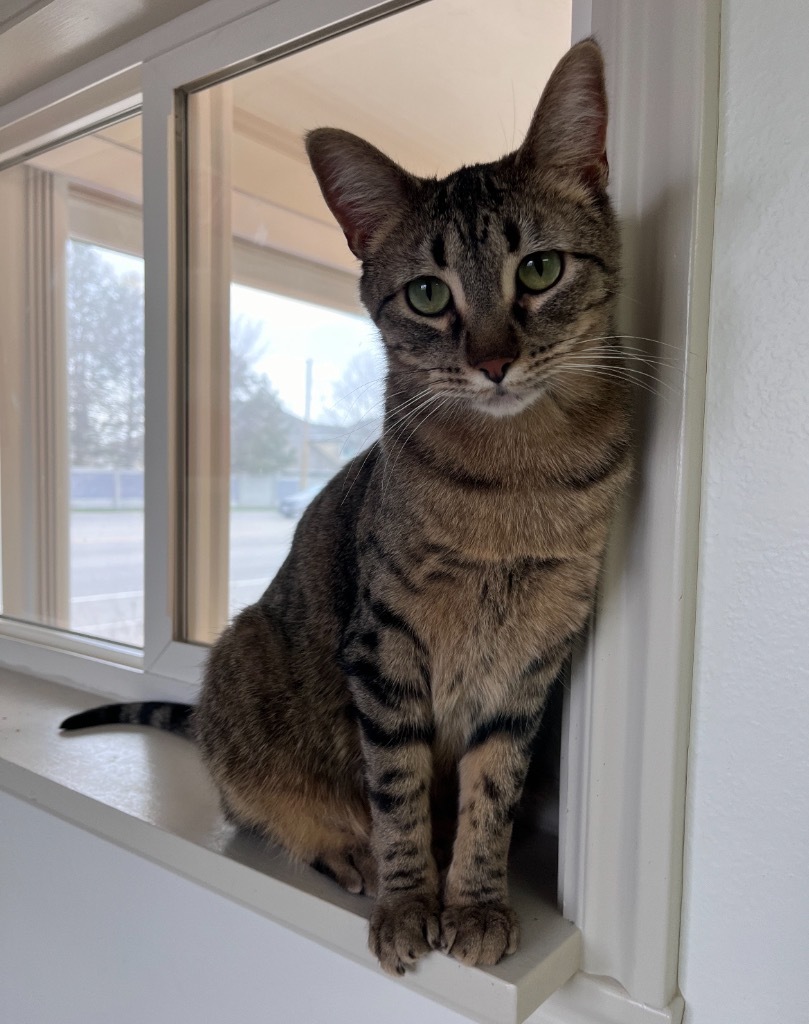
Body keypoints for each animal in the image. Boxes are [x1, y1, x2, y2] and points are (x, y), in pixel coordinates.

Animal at [63, 37, 634, 966]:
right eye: (428, 293)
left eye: (539, 269)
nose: (492, 362)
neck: (517, 480)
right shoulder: (384, 642)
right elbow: (396, 786)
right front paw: (409, 901)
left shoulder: (532, 659)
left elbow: (491, 792)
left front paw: (476, 900)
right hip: (247, 664)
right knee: (258, 806)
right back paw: (347, 852)